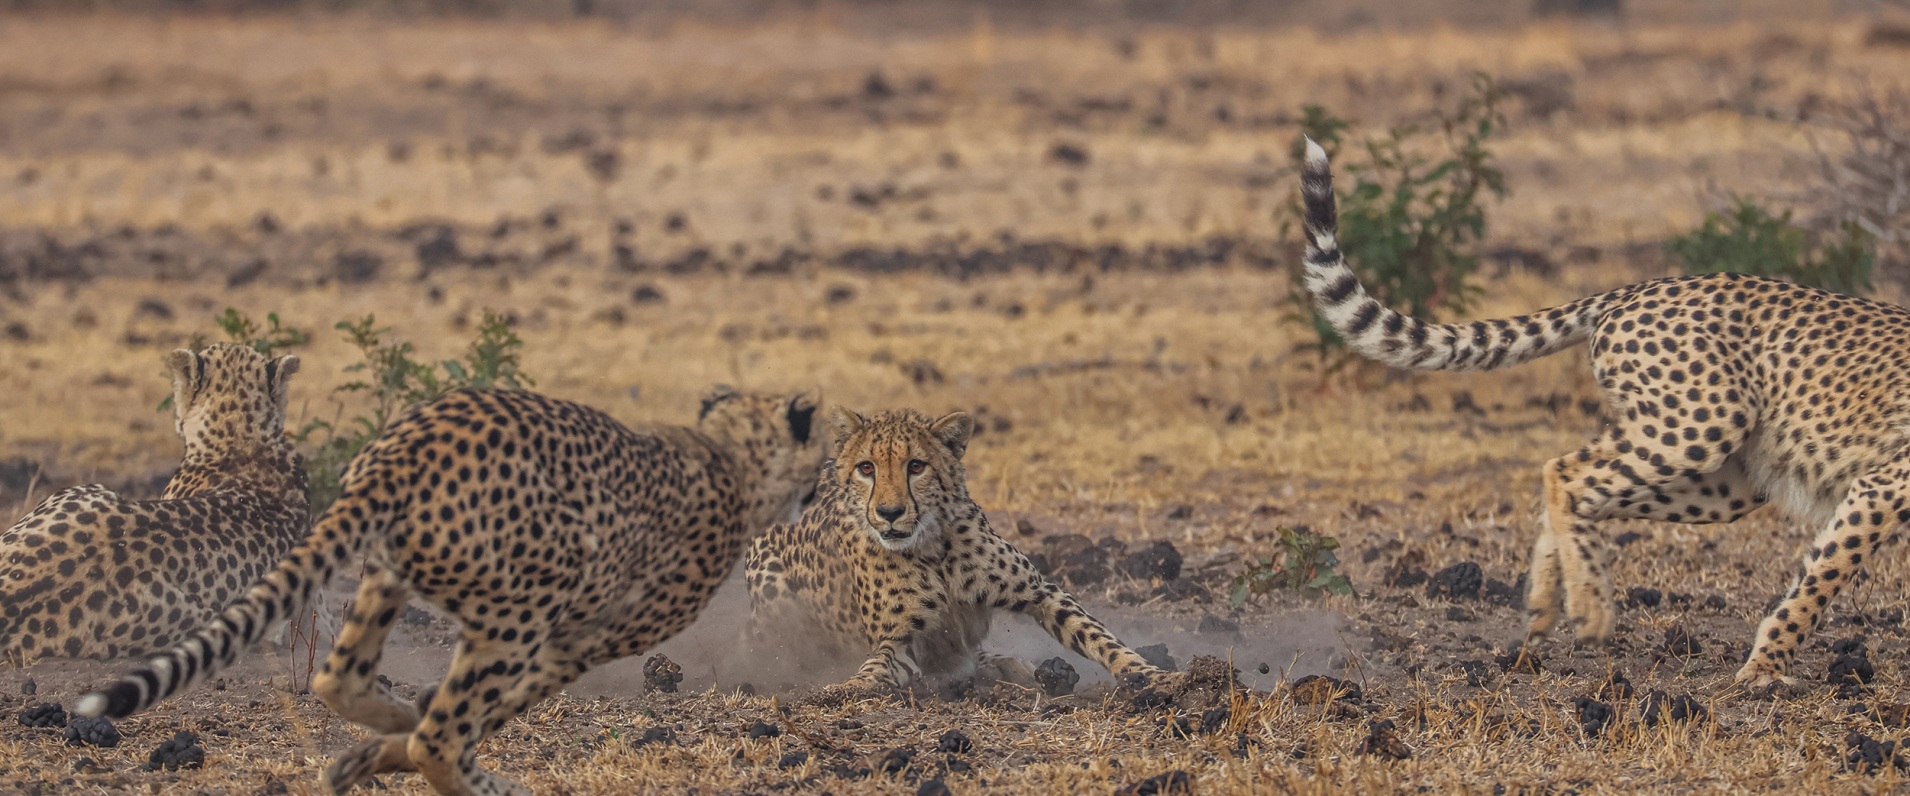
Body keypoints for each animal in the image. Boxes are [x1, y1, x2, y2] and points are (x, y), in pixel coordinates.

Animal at [77, 384, 825, 796]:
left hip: (389, 573)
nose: (823, 486)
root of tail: (405, 450)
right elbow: (486, 714)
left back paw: (396, 719)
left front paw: (364, 758)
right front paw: (399, 753)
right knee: (438, 735)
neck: (731, 458)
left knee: (339, 677)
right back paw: (491, 782)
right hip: (523, 603)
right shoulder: (576, 642)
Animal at [743, 406, 1164, 697]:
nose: (890, 512)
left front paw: (1153, 675)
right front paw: (849, 686)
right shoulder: (898, 640)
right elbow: (878, 665)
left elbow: (1098, 635)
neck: (930, 546)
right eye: (866, 468)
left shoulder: (1041, 592)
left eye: (916, 466)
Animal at [1297, 136, 1910, 689]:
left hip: (1726, 479)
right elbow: (1823, 578)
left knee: (1576, 482)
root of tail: (1642, 286)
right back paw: (1588, 607)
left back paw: (1546, 605)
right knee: (1566, 473)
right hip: (1700, 429)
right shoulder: (1881, 488)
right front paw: (1764, 669)